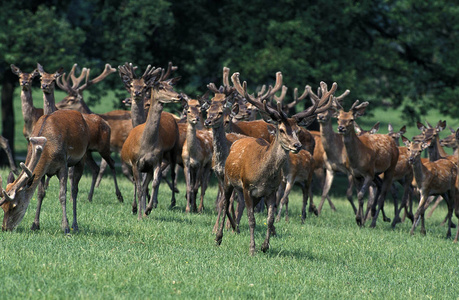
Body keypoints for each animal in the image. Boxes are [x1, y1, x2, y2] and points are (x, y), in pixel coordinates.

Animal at [119, 63, 182, 218]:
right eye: (161, 87)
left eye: (171, 86)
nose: (179, 96)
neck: (146, 143)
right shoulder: (136, 162)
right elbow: (140, 186)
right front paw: (138, 212)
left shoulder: (155, 161)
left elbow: (154, 183)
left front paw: (148, 209)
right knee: (141, 184)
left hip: (173, 151)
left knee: (170, 174)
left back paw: (167, 202)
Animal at [216, 71, 330, 255]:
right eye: (282, 130)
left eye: (297, 130)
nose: (297, 145)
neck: (263, 174)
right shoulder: (248, 187)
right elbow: (252, 219)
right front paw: (252, 249)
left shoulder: (270, 191)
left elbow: (269, 220)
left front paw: (265, 246)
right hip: (228, 180)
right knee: (225, 204)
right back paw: (218, 237)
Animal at [334, 99, 398, 227]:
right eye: (338, 118)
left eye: (351, 119)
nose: (341, 128)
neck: (357, 159)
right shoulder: (355, 174)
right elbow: (360, 196)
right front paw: (360, 220)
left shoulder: (368, 173)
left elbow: (361, 195)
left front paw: (360, 220)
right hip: (376, 173)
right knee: (379, 186)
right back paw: (378, 216)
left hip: (390, 167)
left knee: (384, 194)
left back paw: (374, 222)